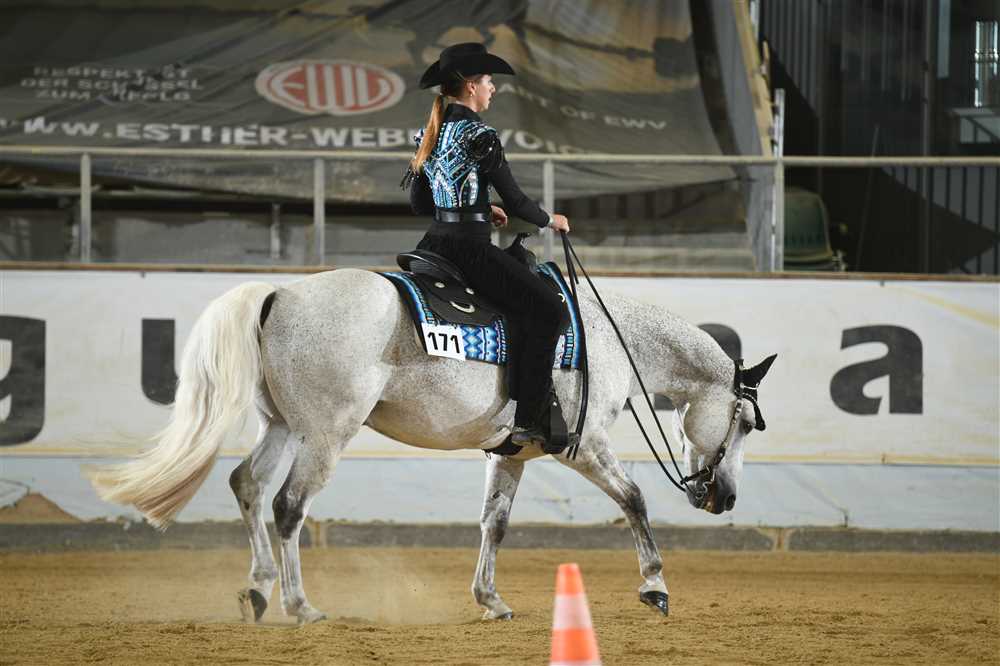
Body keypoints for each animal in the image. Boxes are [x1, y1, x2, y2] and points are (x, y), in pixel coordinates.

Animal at [90, 267, 776, 624]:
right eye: (744, 421)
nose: (726, 497)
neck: (607, 339)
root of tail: (280, 292)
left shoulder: (513, 453)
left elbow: (494, 524)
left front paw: (491, 600)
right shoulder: (580, 447)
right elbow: (634, 498)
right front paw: (655, 586)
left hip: (283, 425)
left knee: (248, 487)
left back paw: (257, 591)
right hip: (326, 433)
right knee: (287, 506)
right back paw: (300, 605)